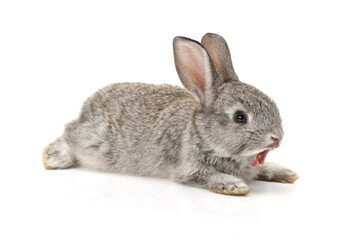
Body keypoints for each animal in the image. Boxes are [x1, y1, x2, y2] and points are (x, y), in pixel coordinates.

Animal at [43, 32, 298, 196]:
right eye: (240, 117)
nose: (277, 138)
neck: (204, 134)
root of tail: (85, 110)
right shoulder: (190, 168)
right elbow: (205, 176)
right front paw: (234, 185)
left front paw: (285, 173)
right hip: (94, 141)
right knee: (67, 136)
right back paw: (54, 158)